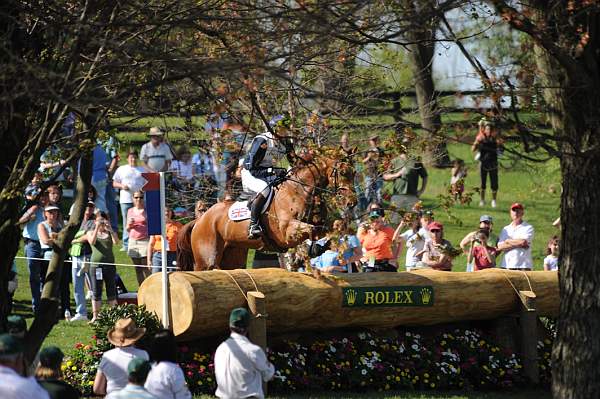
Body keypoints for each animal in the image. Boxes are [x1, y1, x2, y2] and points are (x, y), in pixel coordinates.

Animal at [178, 151, 356, 272]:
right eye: (342, 172)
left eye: (354, 173)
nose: (352, 202)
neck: (300, 190)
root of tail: (200, 219)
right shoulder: (287, 233)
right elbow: (312, 230)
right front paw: (312, 250)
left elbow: (333, 227)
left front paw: (324, 247)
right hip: (206, 260)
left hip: (233, 256)